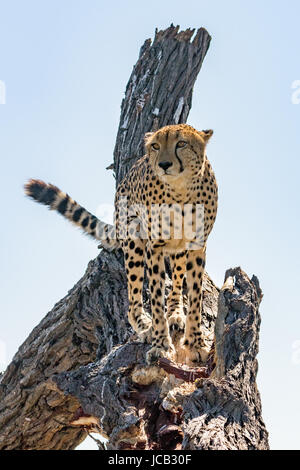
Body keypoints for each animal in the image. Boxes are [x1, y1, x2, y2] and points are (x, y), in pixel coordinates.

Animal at [25, 124, 218, 364]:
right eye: (156, 146)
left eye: (181, 143)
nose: (163, 165)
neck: (181, 191)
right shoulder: (154, 247)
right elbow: (156, 298)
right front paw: (160, 344)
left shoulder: (197, 245)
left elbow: (195, 297)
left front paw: (195, 343)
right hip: (133, 234)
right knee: (134, 298)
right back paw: (145, 327)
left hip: (177, 248)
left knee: (175, 281)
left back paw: (174, 313)